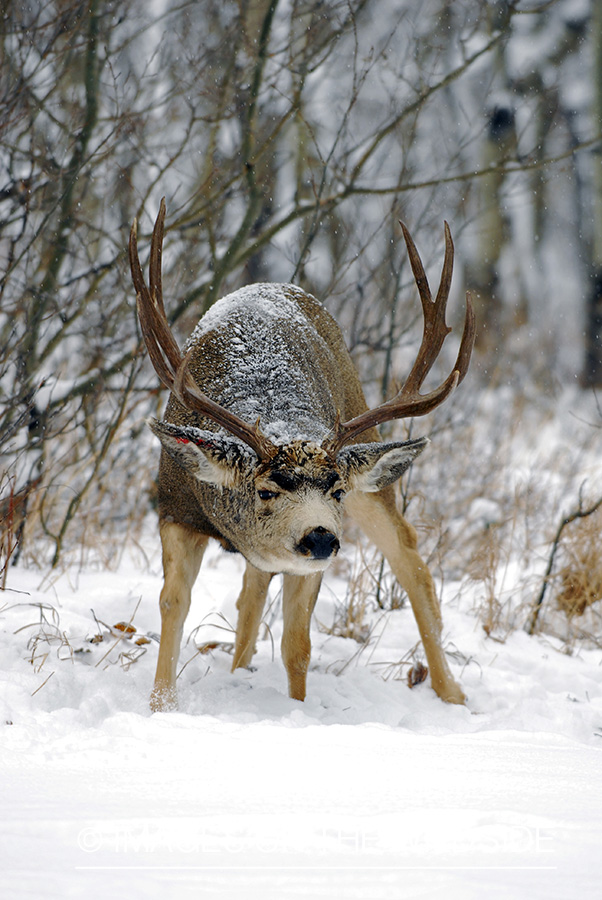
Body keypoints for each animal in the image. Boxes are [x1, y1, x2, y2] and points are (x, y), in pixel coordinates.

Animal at [129, 199, 475, 712]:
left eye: (336, 490)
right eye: (266, 490)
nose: (320, 537)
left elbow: (298, 645)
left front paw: (297, 713)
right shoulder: (175, 506)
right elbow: (173, 604)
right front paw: (161, 706)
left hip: (362, 437)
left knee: (410, 557)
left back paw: (452, 693)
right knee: (250, 592)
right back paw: (239, 669)